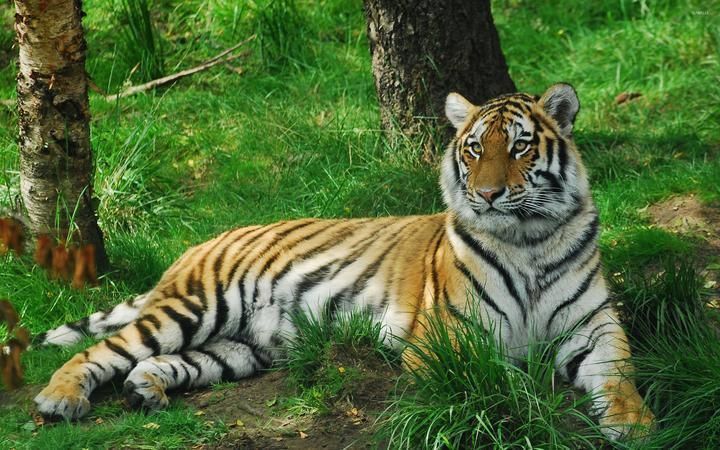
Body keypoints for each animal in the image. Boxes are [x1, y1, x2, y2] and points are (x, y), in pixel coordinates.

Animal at [34, 83, 654, 440]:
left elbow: (620, 375)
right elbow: (498, 382)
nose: (487, 194)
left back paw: (146, 392)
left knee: (158, 363)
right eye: (475, 148)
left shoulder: (594, 326)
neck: (529, 241)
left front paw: (635, 423)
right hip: (195, 307)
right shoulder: (450, 338)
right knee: (101, 351)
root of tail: (197, 244)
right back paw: (59, 400)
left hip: (241, 347)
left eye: (520, 146)